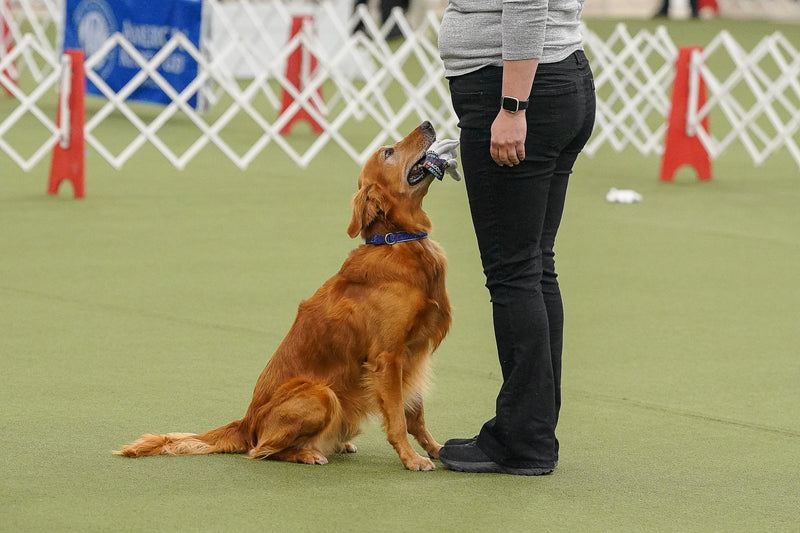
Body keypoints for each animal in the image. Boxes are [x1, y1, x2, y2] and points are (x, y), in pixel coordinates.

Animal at [113, 120, 454, 470]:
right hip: (320, 394)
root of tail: (246, 422)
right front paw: (412, 459)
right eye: (388, 152)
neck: (396, 241)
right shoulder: (388, 358)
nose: (428, 124)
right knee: (262, 449)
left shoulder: (413, 354)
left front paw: (437, 449)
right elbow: (398, 418)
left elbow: (416, 415)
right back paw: (308, 453)